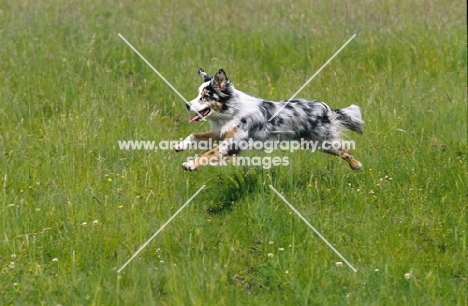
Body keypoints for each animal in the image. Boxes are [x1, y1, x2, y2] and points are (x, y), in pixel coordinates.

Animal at [174, 68, 364, 171]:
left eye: (205, 97)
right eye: (198, 95)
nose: (187, 105)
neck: (232, 110)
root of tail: (325, 108)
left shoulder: (231, 144)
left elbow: (208, 153)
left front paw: (190, 164)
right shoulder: (219, 133)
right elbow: (194, 136)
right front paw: (179, 146)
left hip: (324, 141)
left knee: (345, 150)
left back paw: (357, 165)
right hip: (315, 143)